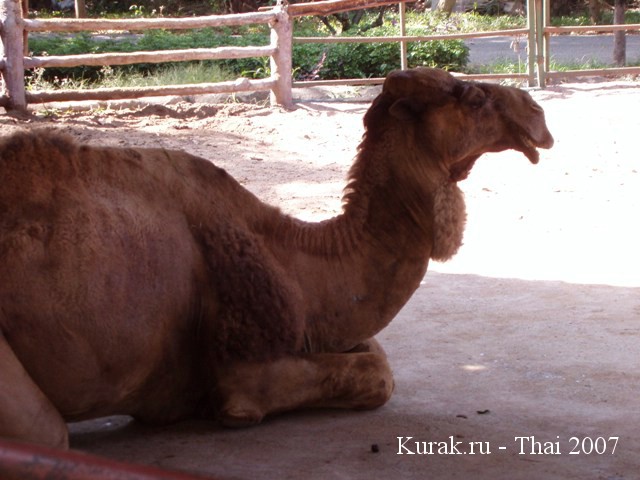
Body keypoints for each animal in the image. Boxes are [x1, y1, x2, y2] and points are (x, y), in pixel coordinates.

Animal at [0, 68, 553, 449]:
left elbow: (374, 352)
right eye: (474, 97)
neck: (295, 261)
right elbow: (377, 376)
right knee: (49, 434)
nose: (537, 113)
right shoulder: (243, 369)